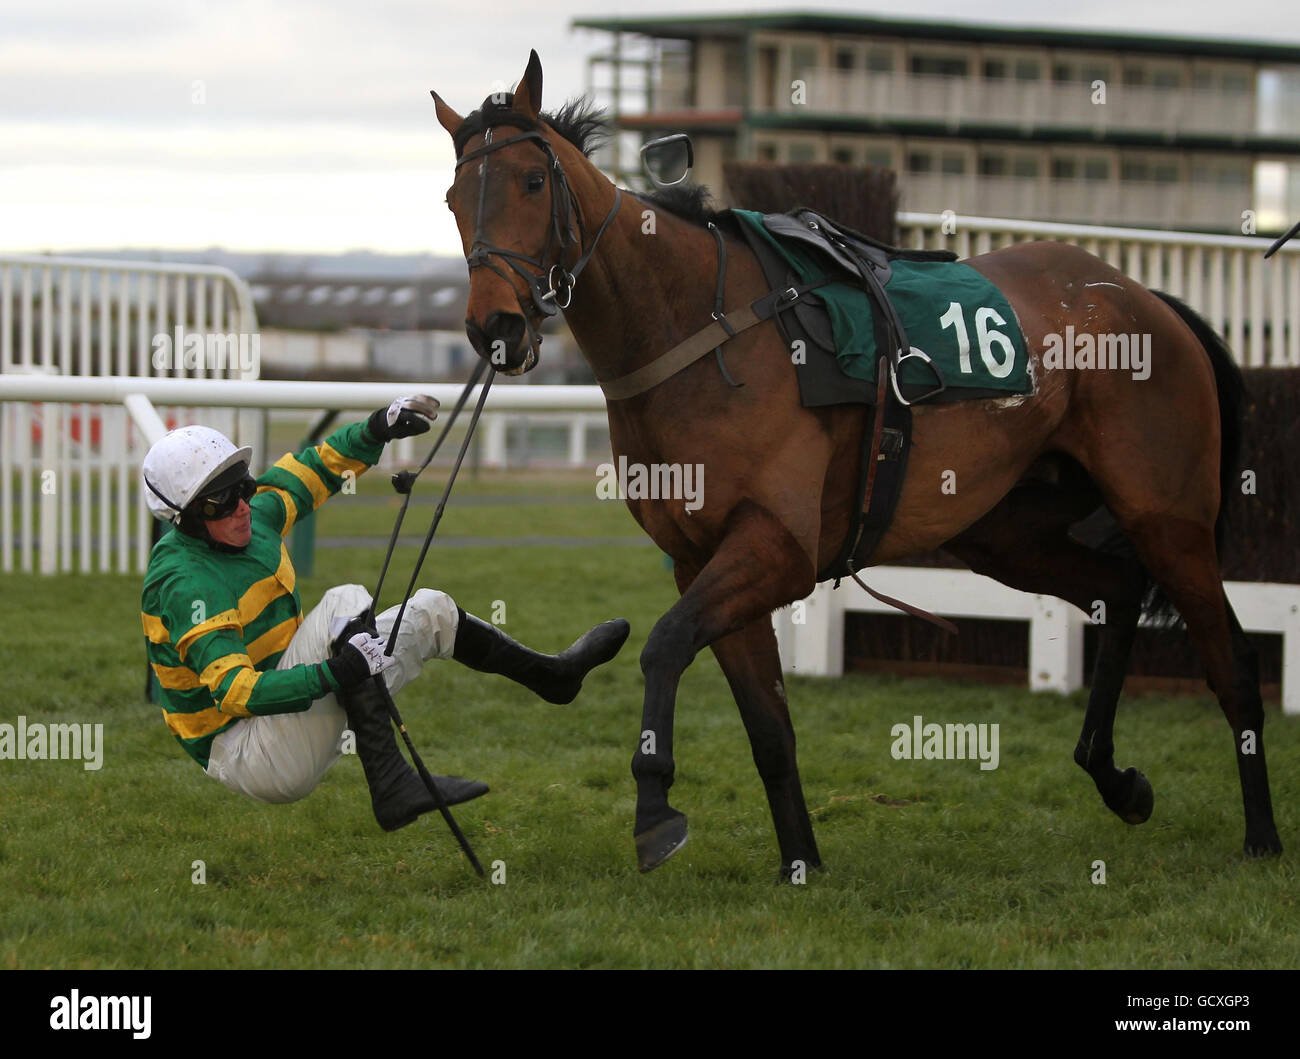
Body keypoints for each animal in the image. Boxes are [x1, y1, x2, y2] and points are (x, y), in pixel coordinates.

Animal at [434, 51, 1279, 878]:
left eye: (532, 181)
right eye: (451, 198)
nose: (494, 327)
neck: (700, 332)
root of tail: (1147, 298)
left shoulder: (777, 548)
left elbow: (666, 644)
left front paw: (654, 808)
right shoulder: (702, 557)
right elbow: (767, 724)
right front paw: (800, 860)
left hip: (1166, 514)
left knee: (1232, 660)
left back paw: (1262, 835)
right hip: (1007, 529)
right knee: (1117, 588)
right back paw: (1116, 777)